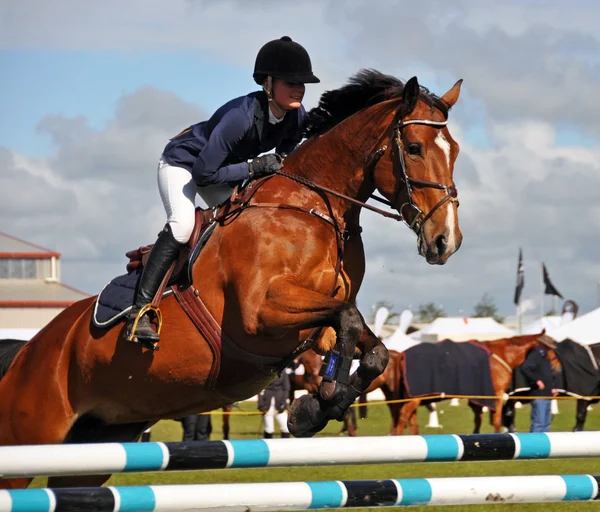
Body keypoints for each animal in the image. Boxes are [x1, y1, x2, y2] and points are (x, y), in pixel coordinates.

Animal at [0, 70, 464, 490]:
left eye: (455, 151)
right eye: (415, 147)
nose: (446, 241)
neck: (312, 207)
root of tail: (29, 350)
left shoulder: (314, 325)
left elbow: (370, 347)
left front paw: (315, 407)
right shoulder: (260, 315)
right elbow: (347, 319)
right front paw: (321, 401)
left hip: (99, 439)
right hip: (31, 438)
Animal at [394, 332, 556, 436]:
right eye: (548, 350)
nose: (556, 367)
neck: (502, 355)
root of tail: (402, 354)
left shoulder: (479, 397)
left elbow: (479, 419)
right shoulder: (496, 395)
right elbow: (497, 420)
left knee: (410, 420)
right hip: (414, 398)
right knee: (402, 416)